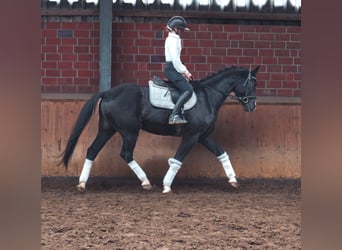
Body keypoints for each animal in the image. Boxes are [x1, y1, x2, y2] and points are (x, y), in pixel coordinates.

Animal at [60, 65, 260, 193]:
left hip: (107, 129)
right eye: (252, 84)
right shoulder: (192, 136)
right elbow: (178, 159)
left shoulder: (204, 136)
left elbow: (222, 153)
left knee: (92, 150)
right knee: (126, 154)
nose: (252, 106)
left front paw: (233, 179)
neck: (208, 96)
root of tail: (108, 92)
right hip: (130, 131)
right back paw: (146, 182)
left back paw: (82, 184)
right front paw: (166, 186)